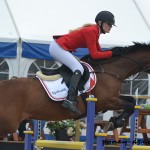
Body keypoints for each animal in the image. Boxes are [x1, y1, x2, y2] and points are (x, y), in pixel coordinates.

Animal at [0, 41, 150, 135]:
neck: (110, 71)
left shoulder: (114, 97)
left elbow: (132, 101)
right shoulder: (106, 101)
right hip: (8, 124)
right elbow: (129, 105)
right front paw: (114, 122)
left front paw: (115, 122)